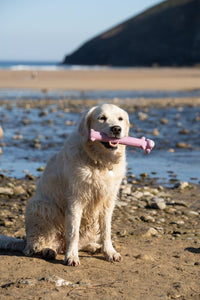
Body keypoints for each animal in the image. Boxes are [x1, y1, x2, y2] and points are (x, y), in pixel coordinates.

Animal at [0, 104, 130, 266]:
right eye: (102, 118)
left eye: (120, 119)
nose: (116, 129)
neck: (99, 161)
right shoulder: (75, 200)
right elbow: (73, 233)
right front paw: (72, 256)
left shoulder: (107, 201)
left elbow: (106, 231)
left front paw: (110, 252)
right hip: (40, 206)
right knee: (33, 247)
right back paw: (49, 251)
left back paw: (93, 247)